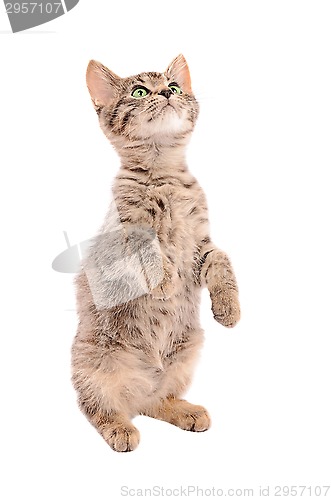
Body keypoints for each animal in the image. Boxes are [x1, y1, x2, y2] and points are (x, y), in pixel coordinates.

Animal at [71, 55, 240, 454]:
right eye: (139, 91)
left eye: (174, 86)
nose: (165, 92)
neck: (164, 176)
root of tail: (135, 394)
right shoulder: (125, 234)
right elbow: (148, 250)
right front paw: (163, 281)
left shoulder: (202, 244)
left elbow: (223, 261)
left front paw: (229, 308)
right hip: (94, 364)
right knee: (96, 406)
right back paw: (120, 428)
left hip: (185, 353)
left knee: (156, 401)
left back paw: (185, 411)